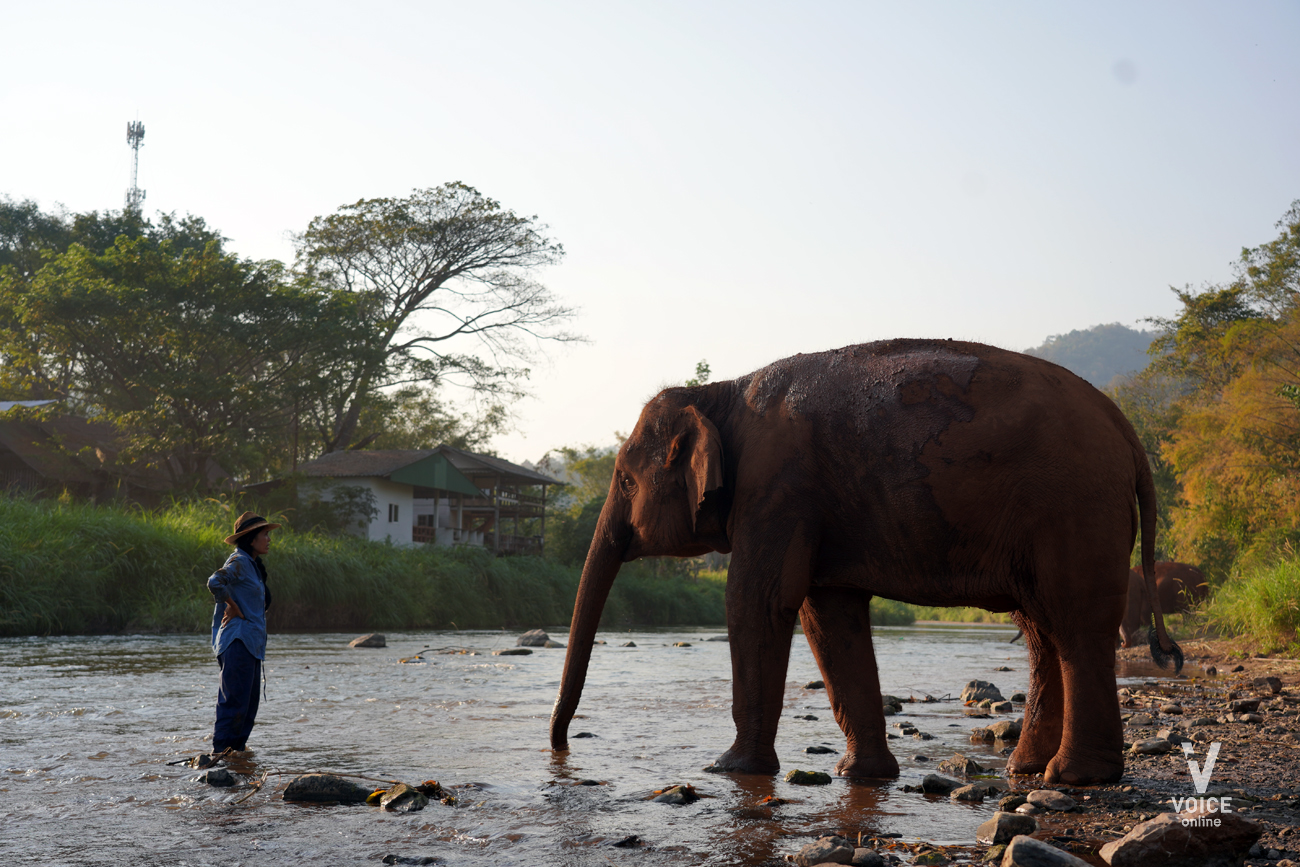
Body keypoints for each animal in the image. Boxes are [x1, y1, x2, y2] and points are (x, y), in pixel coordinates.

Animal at [548, 337, 1180, 785]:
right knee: (1041, 630)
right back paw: (1025, 769)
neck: (723, 391)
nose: (558, 746)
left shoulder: (778, 487)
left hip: (1074, 507)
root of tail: (1127, 431)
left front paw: (728, 770)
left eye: (625, 482)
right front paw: (862, 777)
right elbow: (828, 615)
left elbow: (760, 601)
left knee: (1074, 624)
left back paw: (1072, 778)